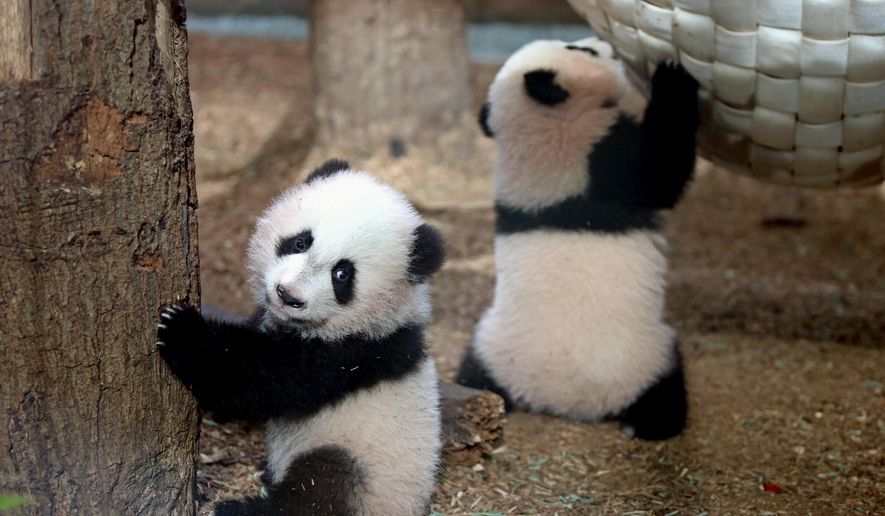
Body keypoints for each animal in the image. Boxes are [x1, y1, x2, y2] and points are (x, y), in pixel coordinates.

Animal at [156, 159, 446, 515]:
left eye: (342, 274)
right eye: (300, 242)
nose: (287, 295)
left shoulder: (354, 353)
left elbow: (265, 379)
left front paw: (183, 331)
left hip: (362, 463)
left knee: (316, 491)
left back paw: (241, 508)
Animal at [455, 38, 699, 440]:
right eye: (577, 48)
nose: (604, 44)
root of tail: (568, 403)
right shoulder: (602, 158)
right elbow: (662, 173)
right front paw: (673, 77)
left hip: (491, 344)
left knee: (473, 372)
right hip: (644, 353)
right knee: (666, 382)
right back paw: (650, 423)